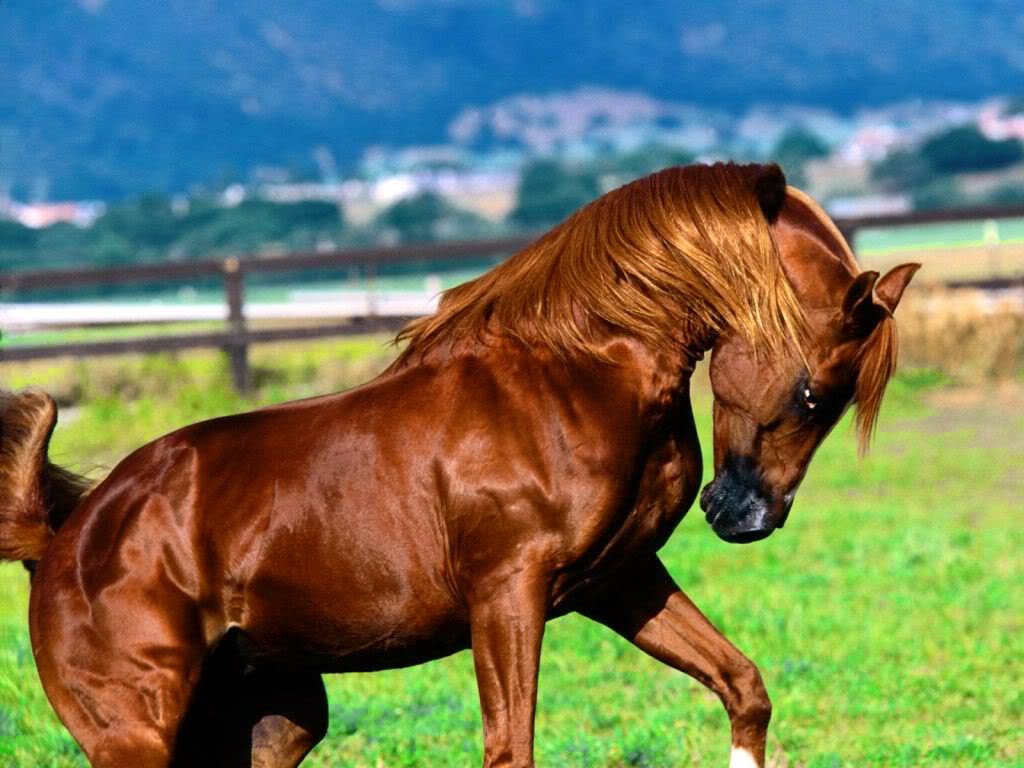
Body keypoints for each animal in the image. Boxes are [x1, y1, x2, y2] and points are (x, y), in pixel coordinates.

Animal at [0, 162, 918, 768]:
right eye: (815, 393)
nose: (745, 517)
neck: (573, 375)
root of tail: (64, 538)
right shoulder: (507, 595)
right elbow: (511, 749)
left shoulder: (619, 580)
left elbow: (742, 685)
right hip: (139, 735)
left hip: (275, 719)